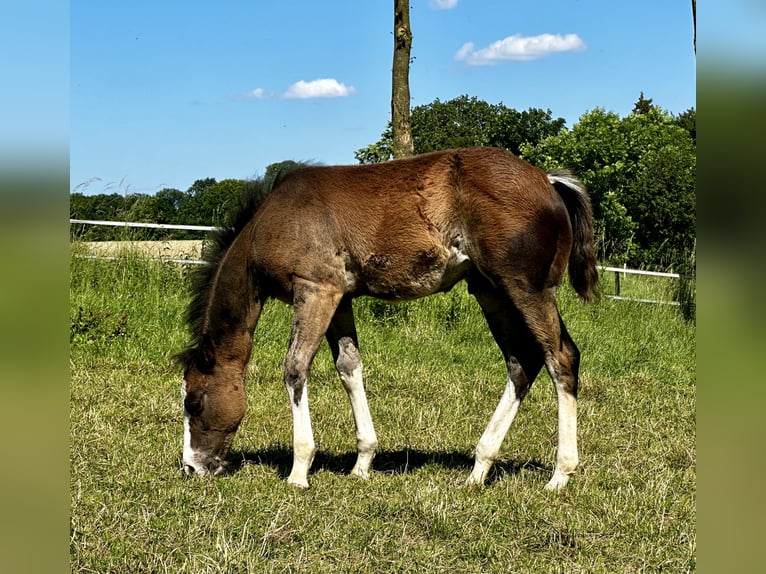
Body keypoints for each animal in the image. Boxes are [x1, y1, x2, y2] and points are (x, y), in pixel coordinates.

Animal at [178, 147, 600, 490]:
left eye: (194, 403)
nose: (191, 467)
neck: (271, 222)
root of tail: (547, 180)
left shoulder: (315, 290)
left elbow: (295, 368)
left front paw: (299, 471)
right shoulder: (340, 297)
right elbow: (349, 366)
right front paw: (362, 463)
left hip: (525, 288)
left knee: (561, 357)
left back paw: (560, 474)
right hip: (491, 291)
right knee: (522, 362)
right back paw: (478, 469)